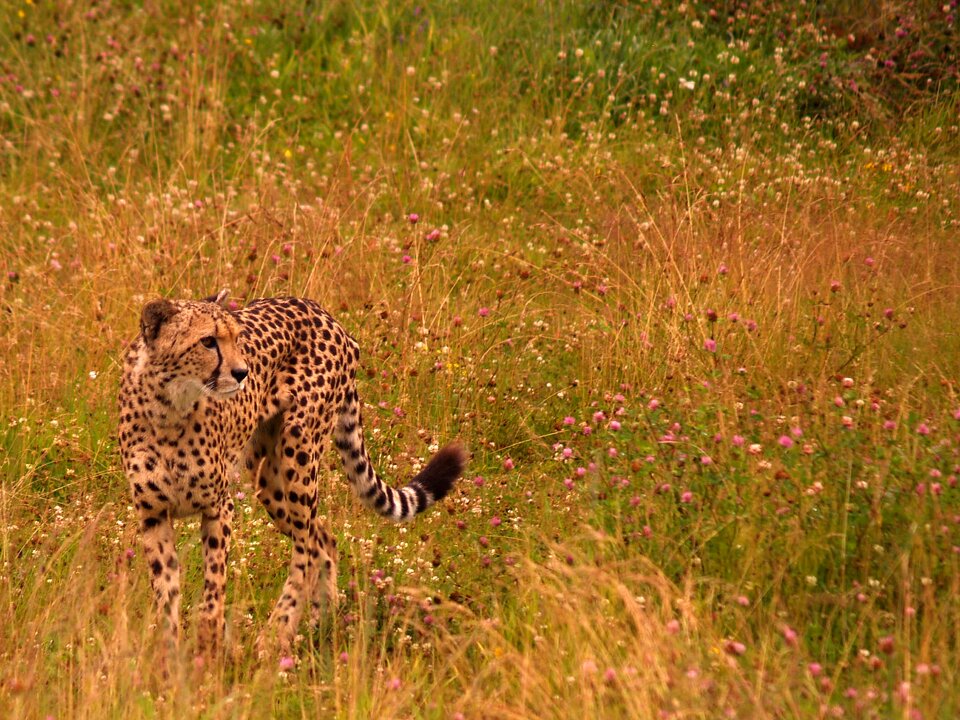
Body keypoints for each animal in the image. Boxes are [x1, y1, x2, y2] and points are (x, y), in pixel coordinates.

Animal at [120, 292, 464, 660]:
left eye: (236, 338)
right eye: (208, 341)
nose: (242, 373)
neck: (169, 407)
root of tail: (323, 312)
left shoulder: (218, 508)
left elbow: (213, 590)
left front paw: (208, 649)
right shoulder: (154, 516)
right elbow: (165, 593)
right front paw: (167, 655)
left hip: (298, 449)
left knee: (306, 549)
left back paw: (278, 631)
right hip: (269, 482)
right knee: (323, 539)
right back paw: (318, 622)